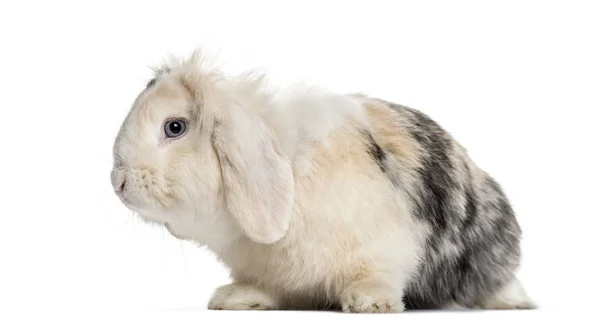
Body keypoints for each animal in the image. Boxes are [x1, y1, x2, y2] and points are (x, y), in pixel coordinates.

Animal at [111, 50, 536, 312]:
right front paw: (233, 298)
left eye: (175, 127)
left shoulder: (384, 247)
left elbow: (378, 273)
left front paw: (370, 304)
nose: (118, 181)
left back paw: (515, 301)